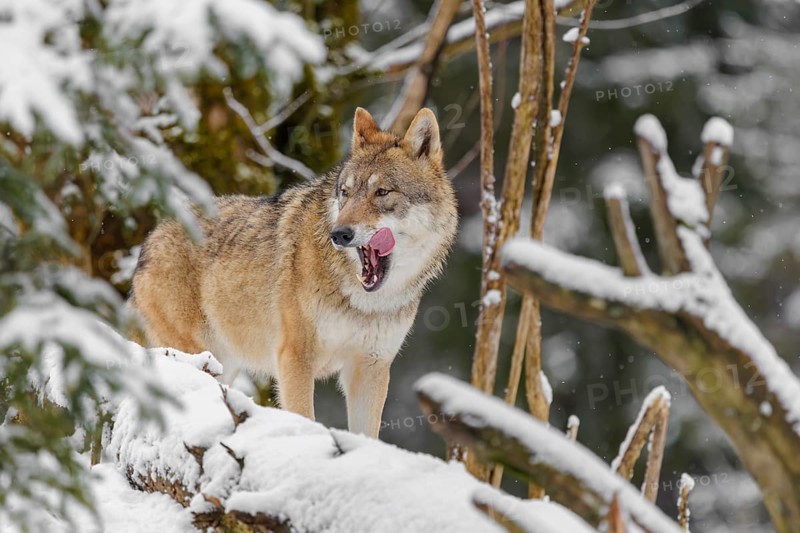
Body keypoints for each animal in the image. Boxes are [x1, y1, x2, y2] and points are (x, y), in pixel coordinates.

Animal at [130, 108, 458, 438]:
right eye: (345, 193)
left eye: (382, 192)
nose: (339, 234)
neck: (363, 303)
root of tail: (150, 239)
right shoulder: (295, 358)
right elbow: (305, 418)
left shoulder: (371, 367)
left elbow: (368, 435)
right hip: (195, 356)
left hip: (223, 365)